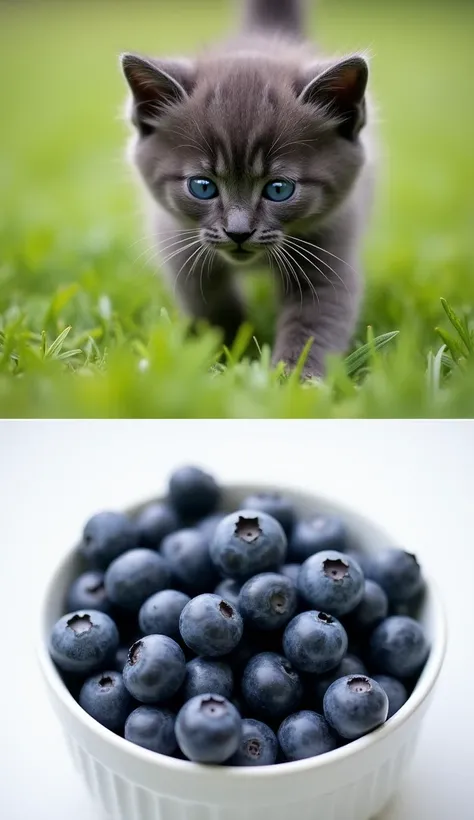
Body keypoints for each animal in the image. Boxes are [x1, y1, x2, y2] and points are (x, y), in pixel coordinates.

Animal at [121, 0, 374, 378]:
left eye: (279, 189)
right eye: (202, 187)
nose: (238, 232)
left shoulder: (332, 247)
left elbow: (316, 321)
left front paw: (294, 378)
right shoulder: (179, 244)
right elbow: (209, 303)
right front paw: (224, 357)